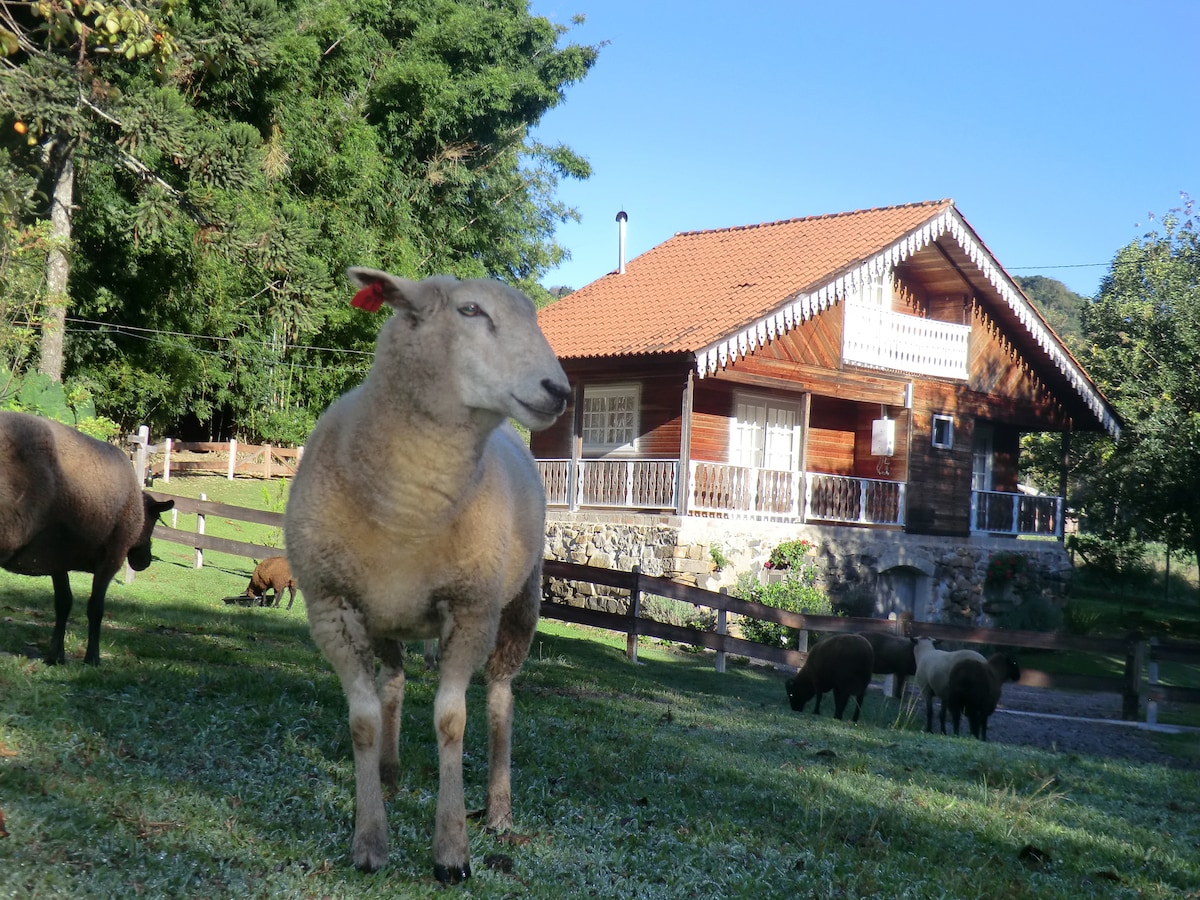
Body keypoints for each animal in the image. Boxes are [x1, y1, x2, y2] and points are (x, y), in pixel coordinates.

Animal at [0, 412, 175, 667]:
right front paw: (92, 658)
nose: (145, 561)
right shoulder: (112, 557)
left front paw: (56, 656)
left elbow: (63, 603)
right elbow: (95, 607)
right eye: (154, 520)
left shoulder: (57, 557)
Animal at [283, 266, 568, 883]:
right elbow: (363, 721)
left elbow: (452, 721)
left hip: (518, 603)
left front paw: (451, 851)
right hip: (387, 615)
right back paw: (389, 776)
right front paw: (369, 840)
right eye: (469, 311)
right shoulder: (331, 607)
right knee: (392, 682)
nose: (558, 391)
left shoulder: (470, 609)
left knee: (500, 699)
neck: (406, 512)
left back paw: (499, 809)